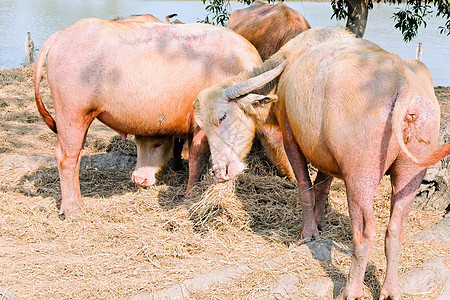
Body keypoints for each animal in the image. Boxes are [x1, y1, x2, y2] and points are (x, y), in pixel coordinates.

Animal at [35, 18, 262, 218]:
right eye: (222, 118)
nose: (226, 173)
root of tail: (60, 35)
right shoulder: (199, 126)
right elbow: (197, 157)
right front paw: (189, 196)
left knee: (76, 154)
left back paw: (80, 203)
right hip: (72, 111)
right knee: (66, 156)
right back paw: (73, 210)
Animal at [195, 26, 450, 300]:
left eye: (222, 117)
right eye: (202, 126)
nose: (220, 171)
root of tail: (404, 85)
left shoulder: (291, 140)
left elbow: (306, 189)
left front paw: (308, 233)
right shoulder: (325, 154)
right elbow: (322, 187)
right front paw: (319, 222)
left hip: (360, 177)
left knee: (365, 231)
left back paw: (351, 289)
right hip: (411, 174)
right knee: (395, 229)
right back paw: (390, 290)